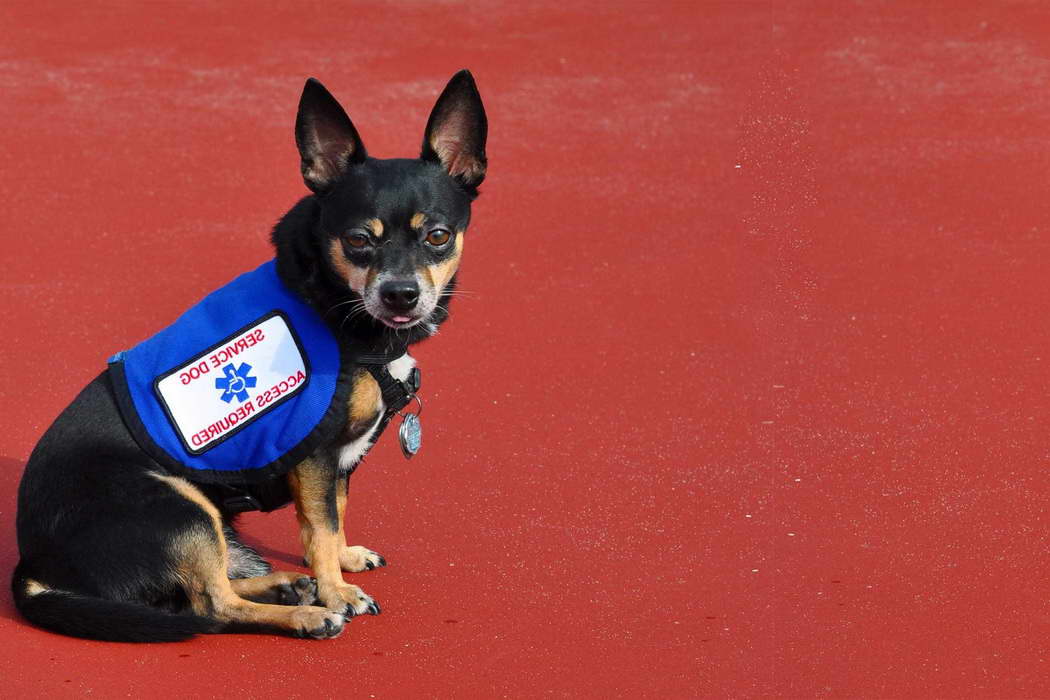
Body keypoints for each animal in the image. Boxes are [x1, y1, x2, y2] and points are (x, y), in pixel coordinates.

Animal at [12, 69, 487, 642]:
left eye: (438, 236)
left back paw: (287, 584)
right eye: (357, 240)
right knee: (210, 607)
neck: (339, 312)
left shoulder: (337, 462)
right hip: (182, 509)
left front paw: (341, 563)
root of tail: (36, 565)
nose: (401, 295)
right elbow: (320, 527)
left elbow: (333, 517)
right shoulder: (315, 456)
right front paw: (337, 592)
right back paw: (307, 613)